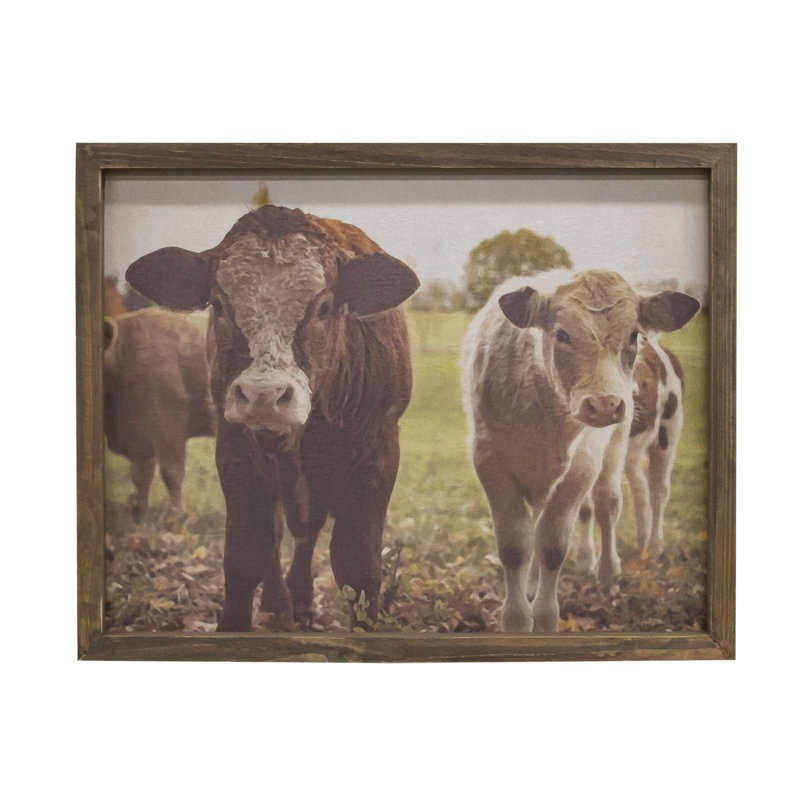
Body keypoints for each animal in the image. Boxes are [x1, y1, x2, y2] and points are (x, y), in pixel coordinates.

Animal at [103, 306, 216, 523]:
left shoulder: (167, 422)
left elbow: (172, 472)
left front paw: (177, 516)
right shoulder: (138, 436)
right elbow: (141, 477)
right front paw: (141, 518)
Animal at [125, 204, 419, 631]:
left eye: (323, 307)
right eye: (218, 305)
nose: (263, 395)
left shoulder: (378, 453)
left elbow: (358, 567)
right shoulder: (235, 452)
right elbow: (247, 554)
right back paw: (279, 606)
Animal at [461, 269, 699, 632]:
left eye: (633, 335)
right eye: (562, 334)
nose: (605, 405)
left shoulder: (582, 464)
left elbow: (552, 544)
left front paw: (545, 619)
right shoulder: (489, 460)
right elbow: (517, 545)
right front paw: (518, 617)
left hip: (660, 435)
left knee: (635, 496)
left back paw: (635, 557)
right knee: (632, 490)